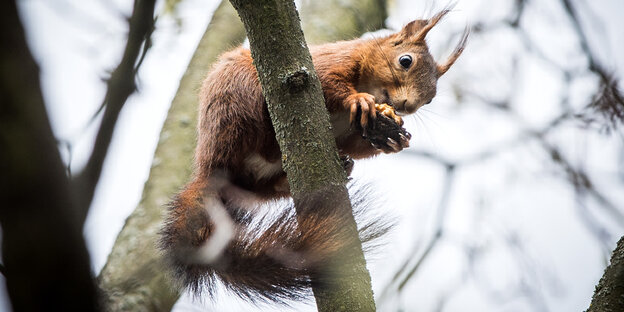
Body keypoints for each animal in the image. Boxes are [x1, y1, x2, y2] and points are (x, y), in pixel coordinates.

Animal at [161, 9, 468, 302]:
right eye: (406, 61)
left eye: (430, 98)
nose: (408, 106)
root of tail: (210, 172)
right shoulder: (328, 62)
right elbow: (329, 82)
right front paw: (359, 100)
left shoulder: (349, 132)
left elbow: (355, 143)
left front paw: (390, 138)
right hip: (237, 95)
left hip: (258, 182)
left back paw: (337, 166)